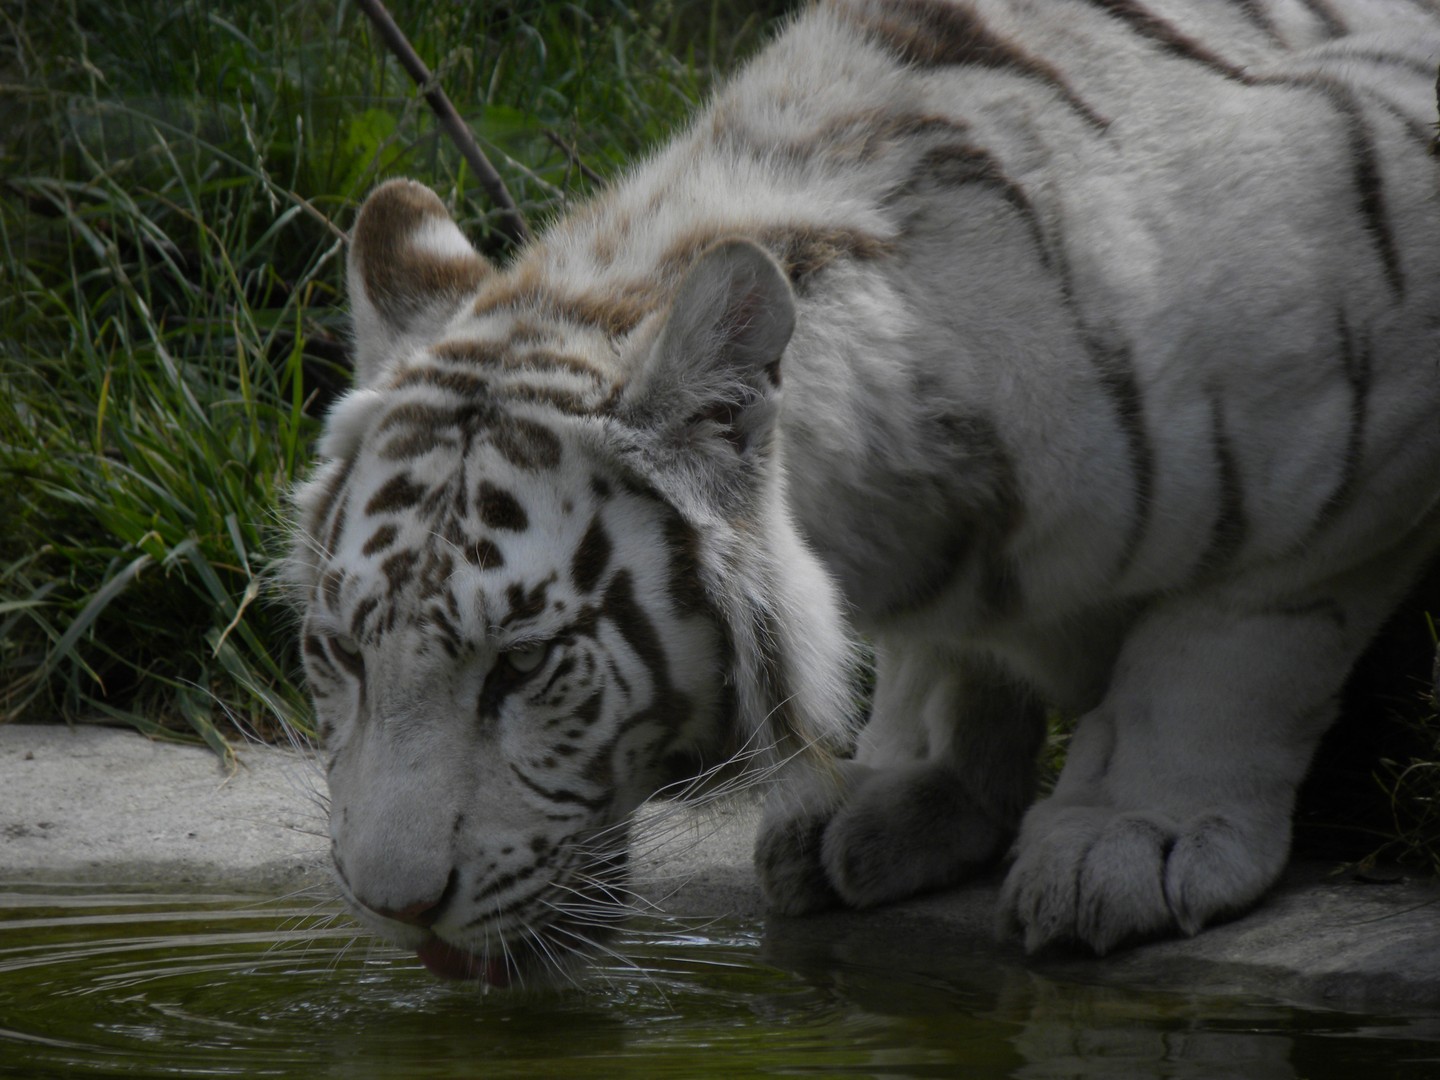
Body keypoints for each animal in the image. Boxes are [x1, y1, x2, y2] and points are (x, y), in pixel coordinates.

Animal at [287, 0, 1440, 986]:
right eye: (341, 653)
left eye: (523, 665)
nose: (396, 907)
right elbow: (949, 660)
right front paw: (899, 793)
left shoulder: (1346, 451)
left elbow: (1228, 648)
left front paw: (1127, 838)